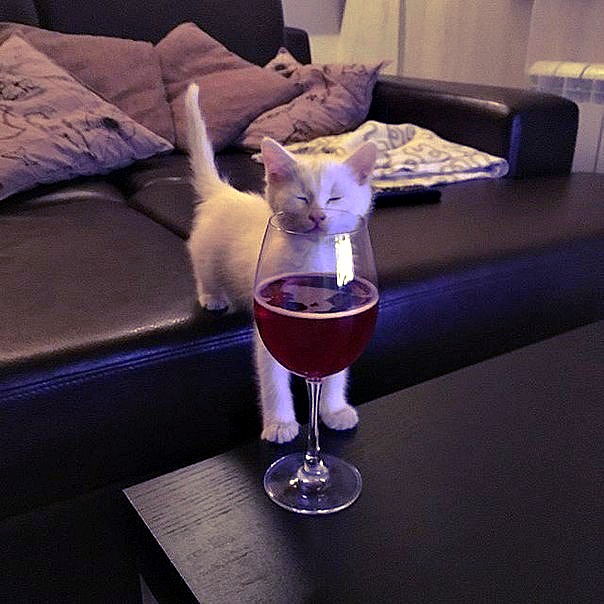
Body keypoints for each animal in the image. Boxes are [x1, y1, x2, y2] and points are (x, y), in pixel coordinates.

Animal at [184, 82, 377, 443]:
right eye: (301, 197)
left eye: (335, 198)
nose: (317, 215)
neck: (312, 255)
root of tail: (224, 193)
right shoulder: (269, 327)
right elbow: (272, 378)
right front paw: (280, 423)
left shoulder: (341, 313)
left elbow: (335, 368)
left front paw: (334, 410)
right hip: (205, 252)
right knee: (204, 273)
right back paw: (213, 297)